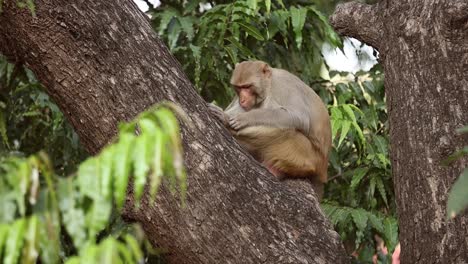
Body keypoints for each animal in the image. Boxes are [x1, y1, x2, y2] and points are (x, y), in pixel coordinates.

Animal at [208, 60, 332, 192]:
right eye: (239, 88)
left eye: (247, 87)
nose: (242, 100)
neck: (270, 83)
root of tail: (323, 169)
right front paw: (225, 114)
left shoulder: (284, 85)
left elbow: (299, 117)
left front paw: (243, 118)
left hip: (305, 154)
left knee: (285, 129)